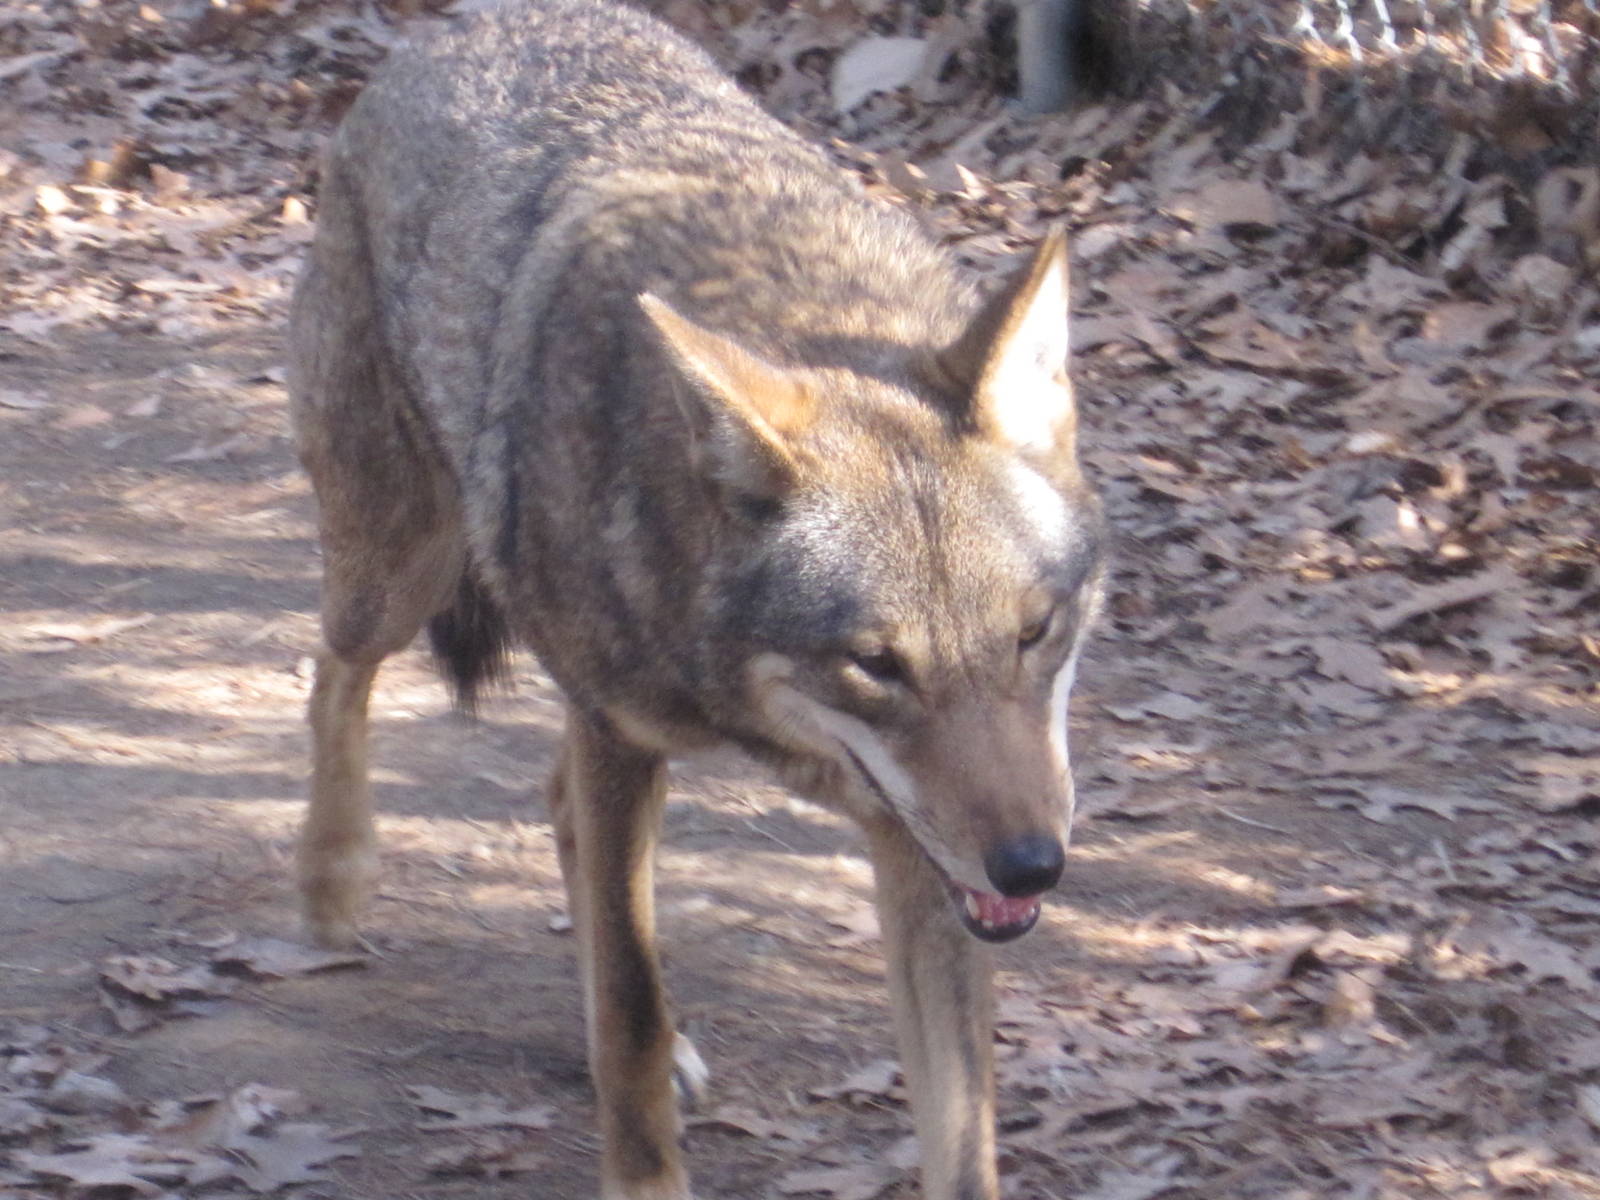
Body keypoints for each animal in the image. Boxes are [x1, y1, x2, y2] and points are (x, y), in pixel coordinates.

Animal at [288, 2, 1106, 1196]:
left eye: (1033, 634)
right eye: (876, 665)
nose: (1034, 865)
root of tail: (469, 25)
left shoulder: (920, 850)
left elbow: (960, 1140)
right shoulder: (622, 737)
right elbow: (628, 1017)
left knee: (549, 800)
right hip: (401, 569)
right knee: (333, 677)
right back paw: (332, 879)